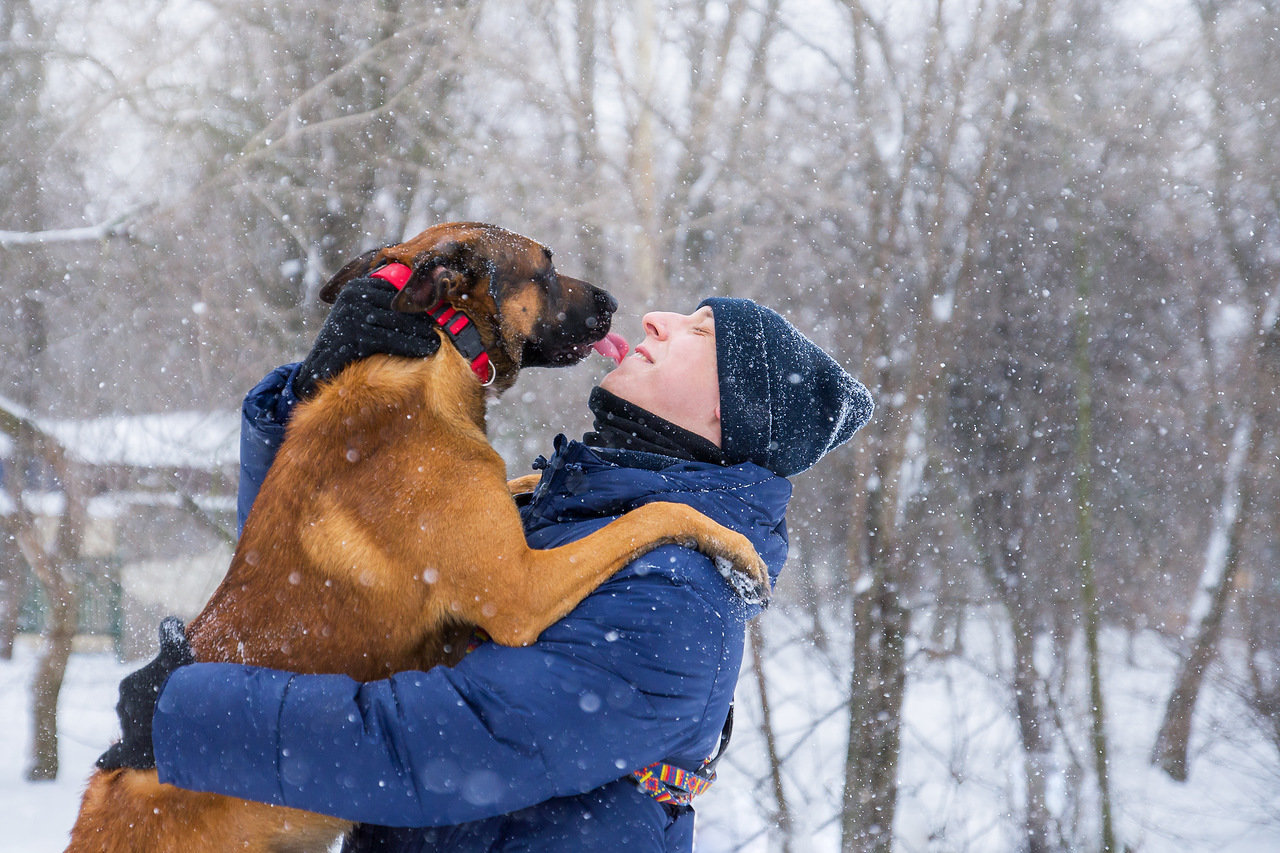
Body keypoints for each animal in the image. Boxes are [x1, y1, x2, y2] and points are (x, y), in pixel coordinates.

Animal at [67, 222, 768, 845]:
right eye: (544, 268)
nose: (616, 304)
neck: (437, 356)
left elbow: (525, 480)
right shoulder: (520, 591)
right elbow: (652, 513)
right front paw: (740, 550)